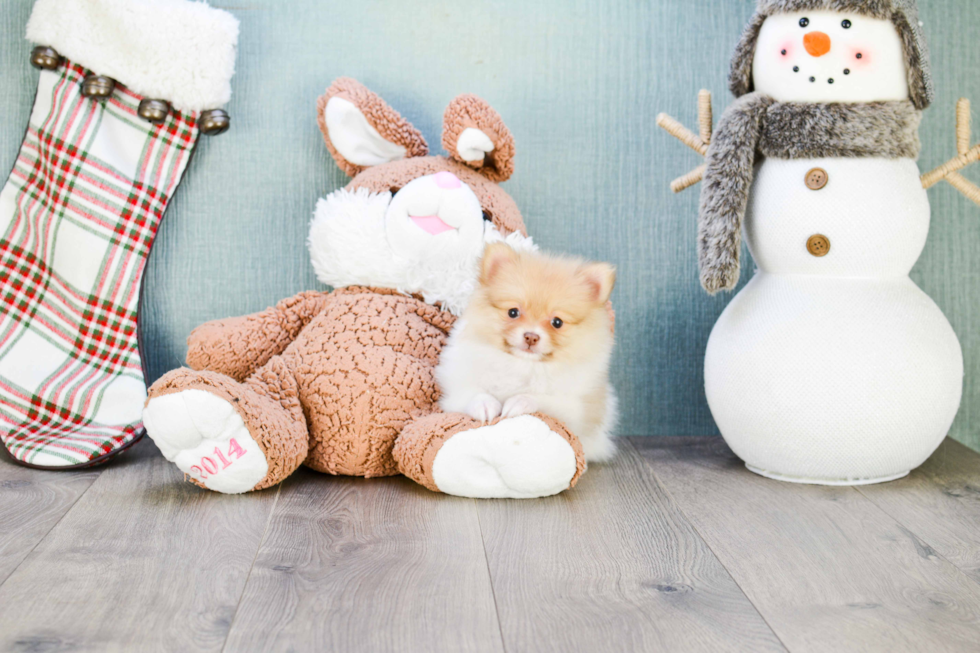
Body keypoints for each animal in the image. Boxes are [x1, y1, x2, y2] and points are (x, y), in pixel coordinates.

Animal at [438, 242, 616, 460]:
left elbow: (543, 399)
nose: (531, 336)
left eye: (557, 322)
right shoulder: (456, 388)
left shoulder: (578, 410)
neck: (523, 364)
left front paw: (519, 401)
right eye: (513, 312)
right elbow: (473, 393)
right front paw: (485, 405)